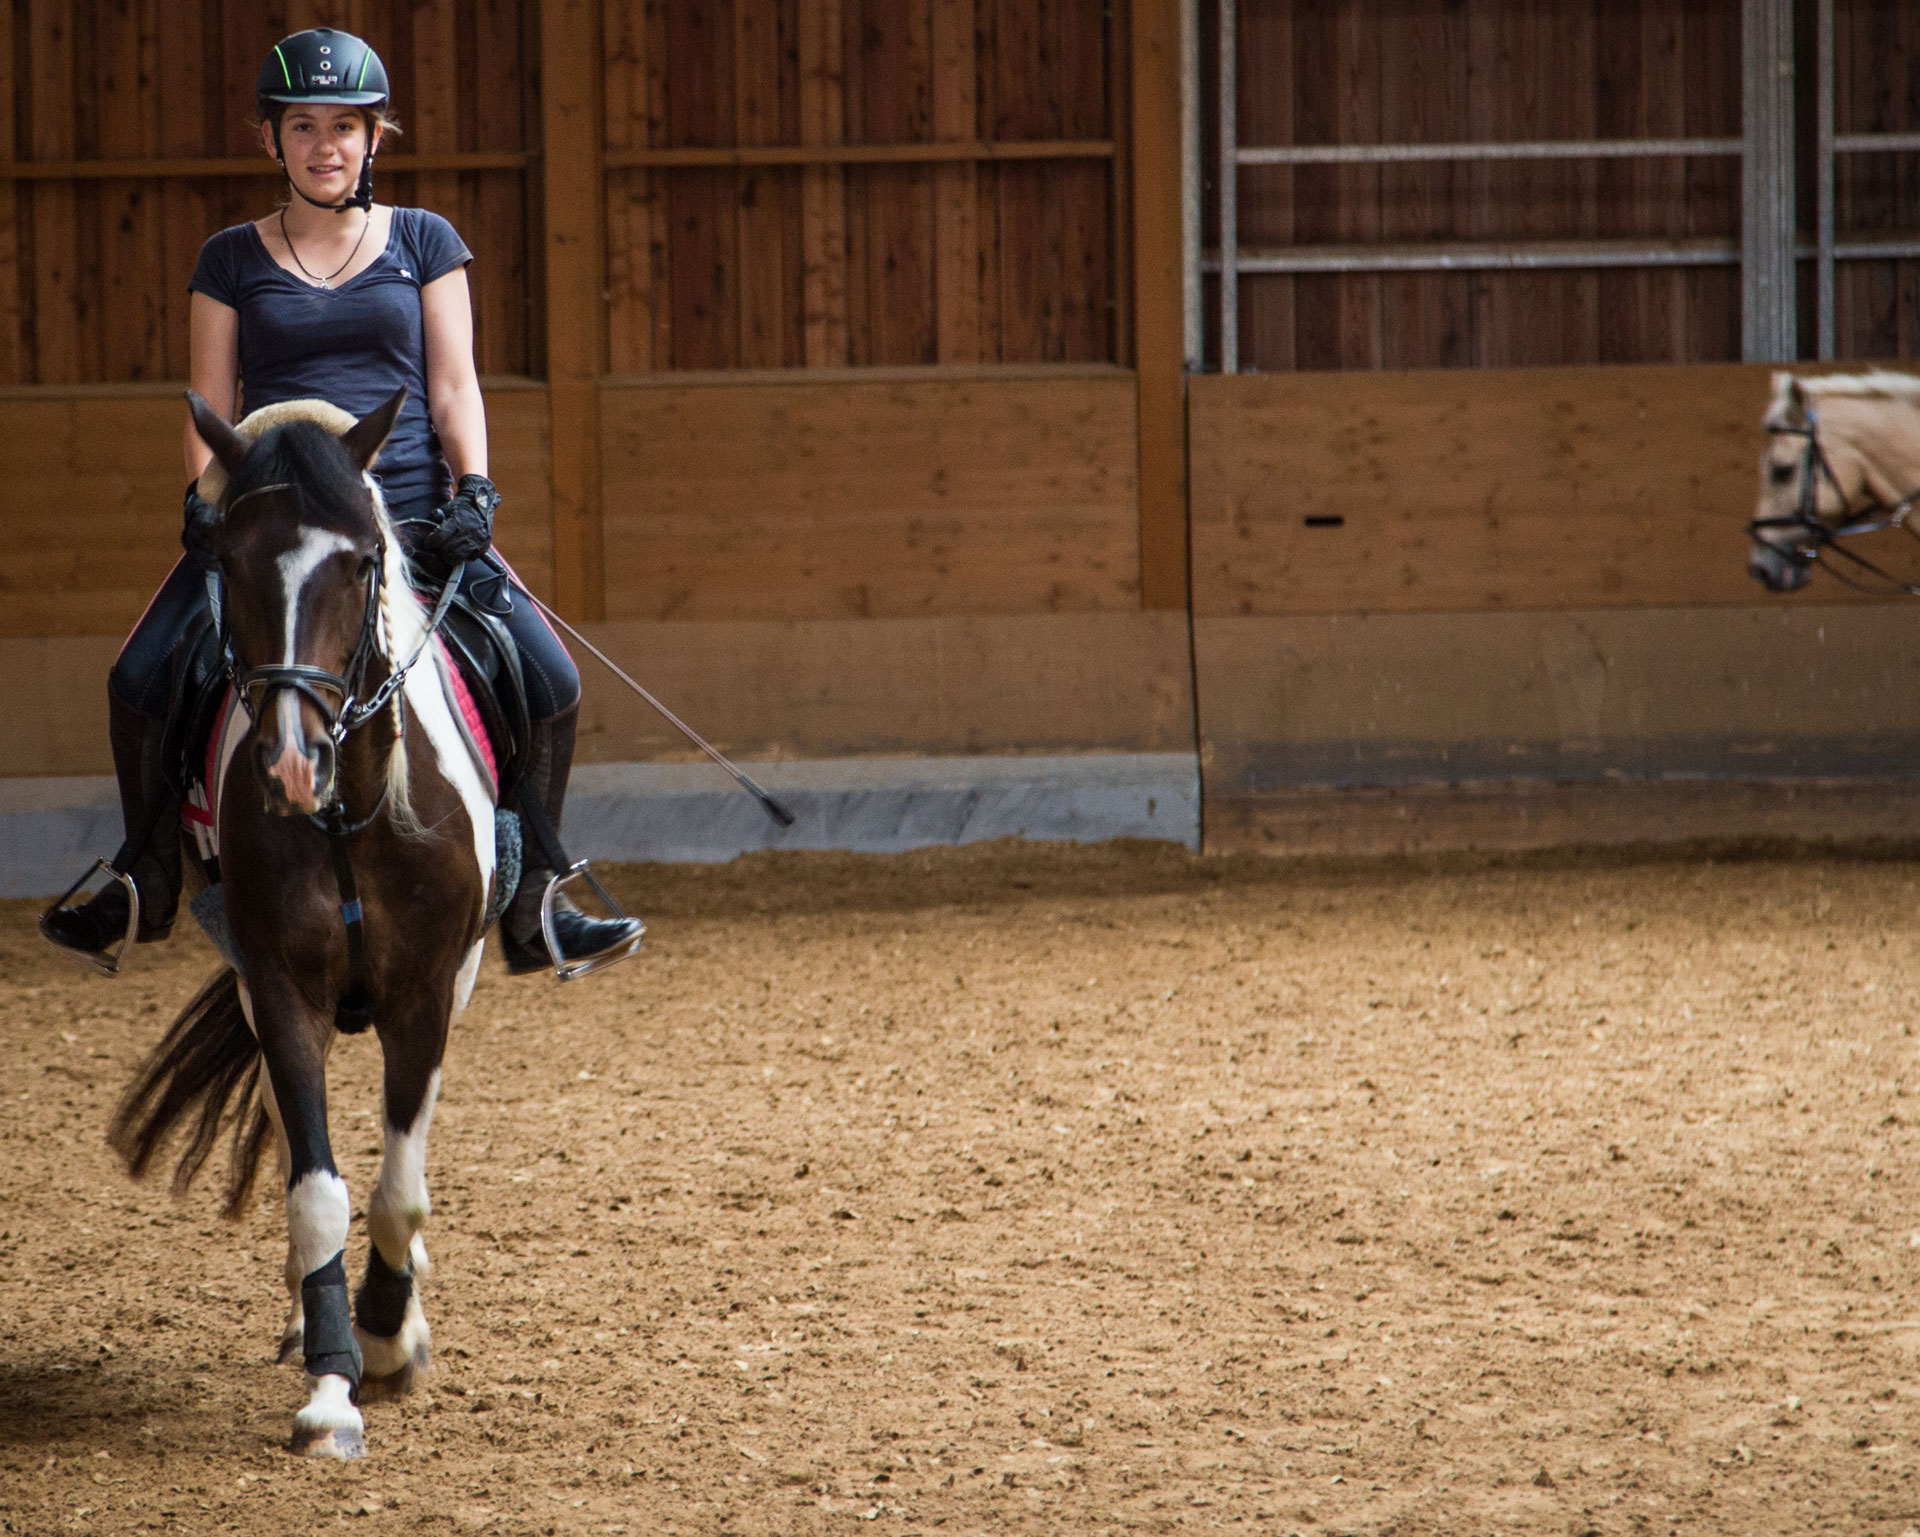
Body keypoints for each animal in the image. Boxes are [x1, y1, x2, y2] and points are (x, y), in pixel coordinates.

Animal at [111, 389, 495, 1458]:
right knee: (293, 1142)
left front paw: (391, 1332)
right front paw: (332, 1383)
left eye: (361, 561)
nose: (290, 763)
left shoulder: (428, 992)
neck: (347, 812)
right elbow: (316, 1189)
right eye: (230, 561)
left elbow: (401, 1188)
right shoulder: (279, 987)